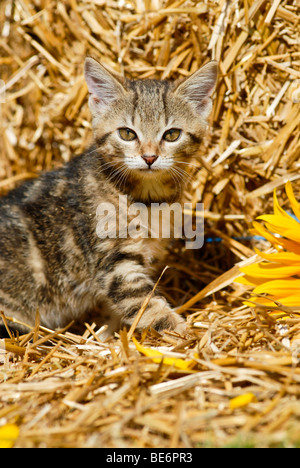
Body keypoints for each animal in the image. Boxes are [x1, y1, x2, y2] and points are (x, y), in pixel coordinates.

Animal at [0, 57, 217, 336]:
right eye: (127, 133)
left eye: (172, 134)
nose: (149, 157)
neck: (145, 197)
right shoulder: (114, 261)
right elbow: (145, 305)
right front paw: (182, 333)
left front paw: (107, 334)